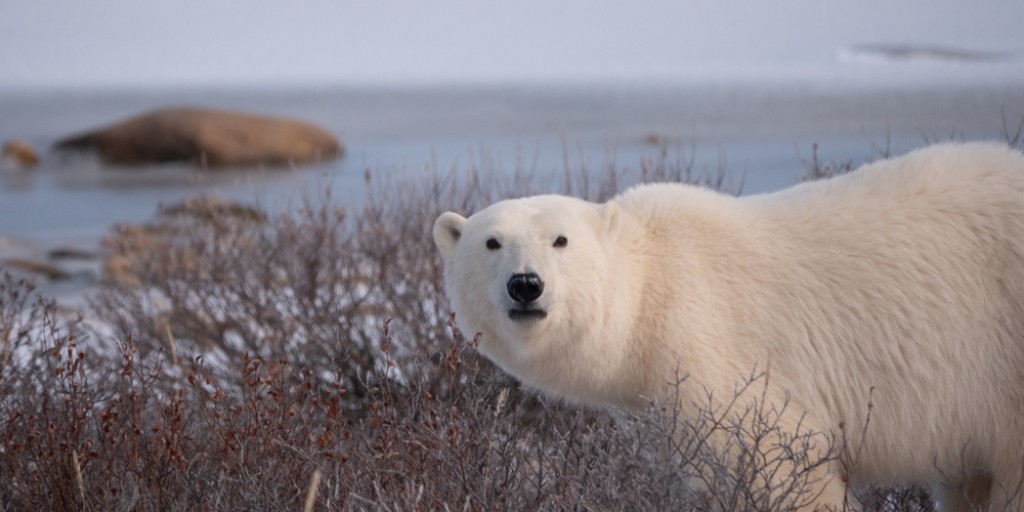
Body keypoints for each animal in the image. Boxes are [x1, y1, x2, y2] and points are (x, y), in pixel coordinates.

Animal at [432, 142, 1024, 511]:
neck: (652, 292)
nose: (526, 285)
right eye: (492, 242)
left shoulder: (716, 354)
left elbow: (782, 470)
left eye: (560, 239)